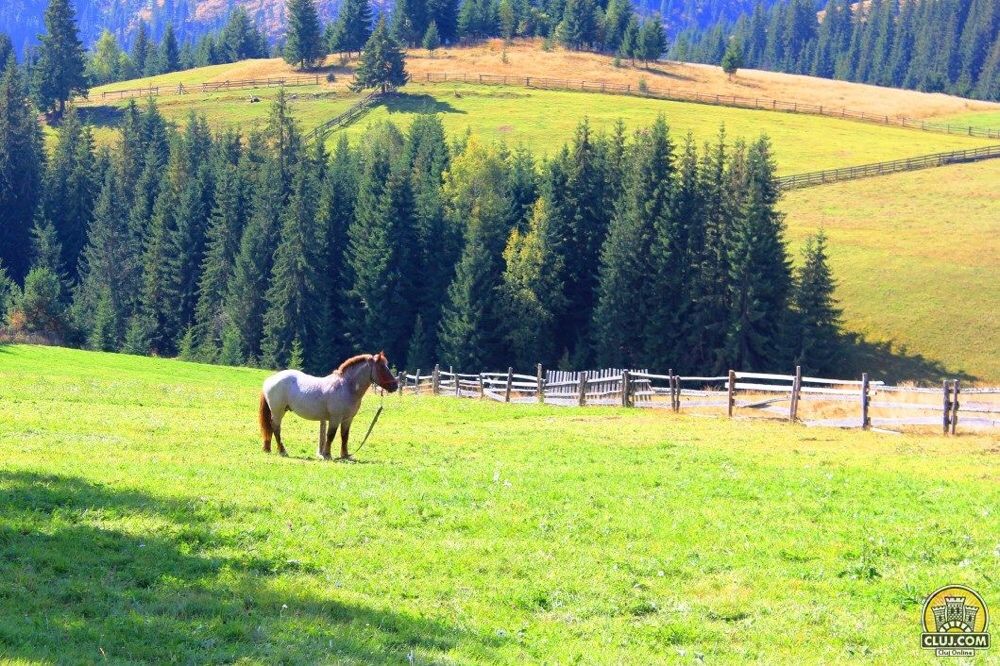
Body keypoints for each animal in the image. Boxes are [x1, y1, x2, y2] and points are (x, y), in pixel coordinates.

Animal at [258, 352, 398, 456]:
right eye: (382, 367)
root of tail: (270, 379)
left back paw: (268, 448)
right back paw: (282, 451)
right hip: (278, 411)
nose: (395, 386)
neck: (346, 386)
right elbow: (331, 435)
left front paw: (345, 455)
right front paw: (327, 454)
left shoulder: (348, 419)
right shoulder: (335, 418)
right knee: (275, 428)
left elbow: (344, 436)